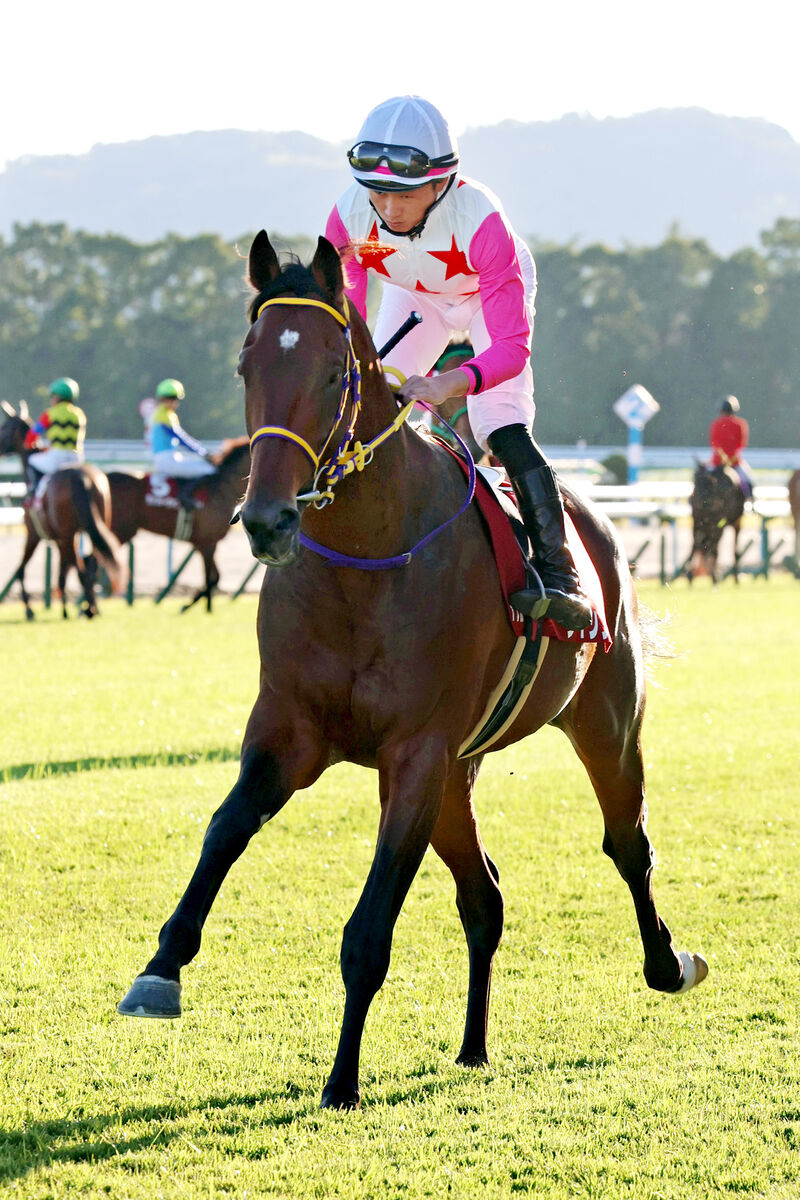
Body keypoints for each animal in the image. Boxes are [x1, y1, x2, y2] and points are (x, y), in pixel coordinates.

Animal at [0, 403, 125, 624]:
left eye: (5, 427)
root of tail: (83, 477)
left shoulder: (34, 534)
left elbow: (21, 571)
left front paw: (29, 610)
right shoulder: (59, 539)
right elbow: (61, 574)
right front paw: (65, 610)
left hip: (68, 535)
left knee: (82, 570)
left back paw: (89, 610)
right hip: (95, 527)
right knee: (92, 566)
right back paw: (92, 608)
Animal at [106, 436, 250, 614]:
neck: (222, 488)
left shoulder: (202, 544)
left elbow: (216, 577)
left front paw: (193, 603)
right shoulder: (207, 543)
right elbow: (210, 578)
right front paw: (201, 608)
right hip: (121, 530)